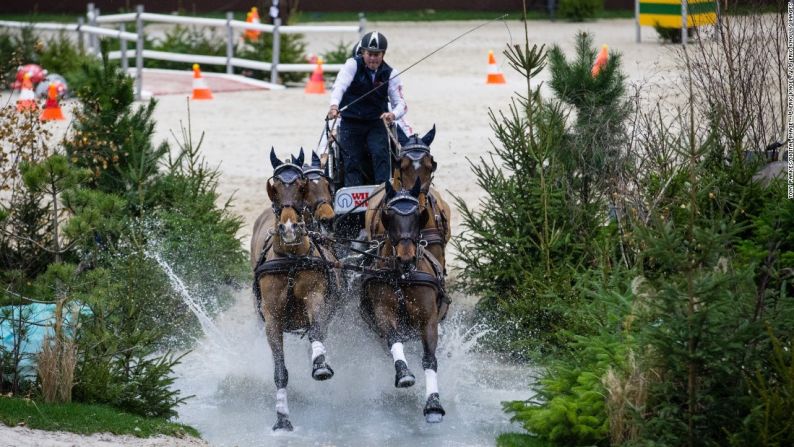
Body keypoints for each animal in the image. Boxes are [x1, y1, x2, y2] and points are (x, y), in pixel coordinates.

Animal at [249, 149, 338, 432]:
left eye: (301, 186)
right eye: (274, 188)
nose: (289, 228)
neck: (290, 259)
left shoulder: (316, 297)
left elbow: (317, 329)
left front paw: (320, 364)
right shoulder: (272, 319)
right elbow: (280, 371)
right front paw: (282, 417)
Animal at [358, 178, 446, 424]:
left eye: (418, 214)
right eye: (389, 215)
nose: (405, 258)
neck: (403, 276)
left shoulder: (428, 320)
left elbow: (429, 359)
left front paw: (433, 403)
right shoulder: (383, 312)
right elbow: (394, 339)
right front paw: (404, 373)